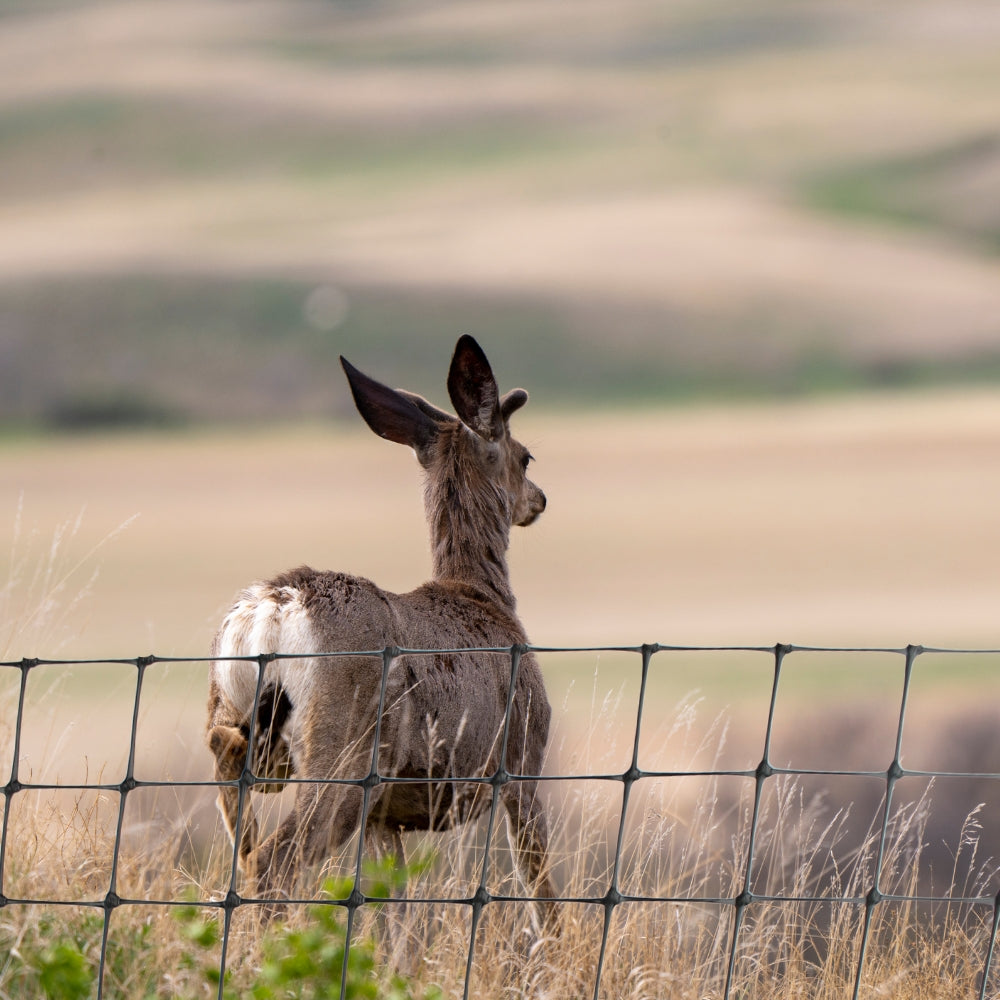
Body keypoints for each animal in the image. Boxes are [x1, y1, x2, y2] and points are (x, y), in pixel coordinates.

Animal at [207, 334, 560, 928]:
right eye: (525, 455)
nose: (540, 499)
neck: (484, 595)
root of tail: (274, 610)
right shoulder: (522, 761)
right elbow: (543, 895)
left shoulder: (385, 817)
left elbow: (389, 913)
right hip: (343, 749)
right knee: (273, 858)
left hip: (237, 714)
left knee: (237, 805)